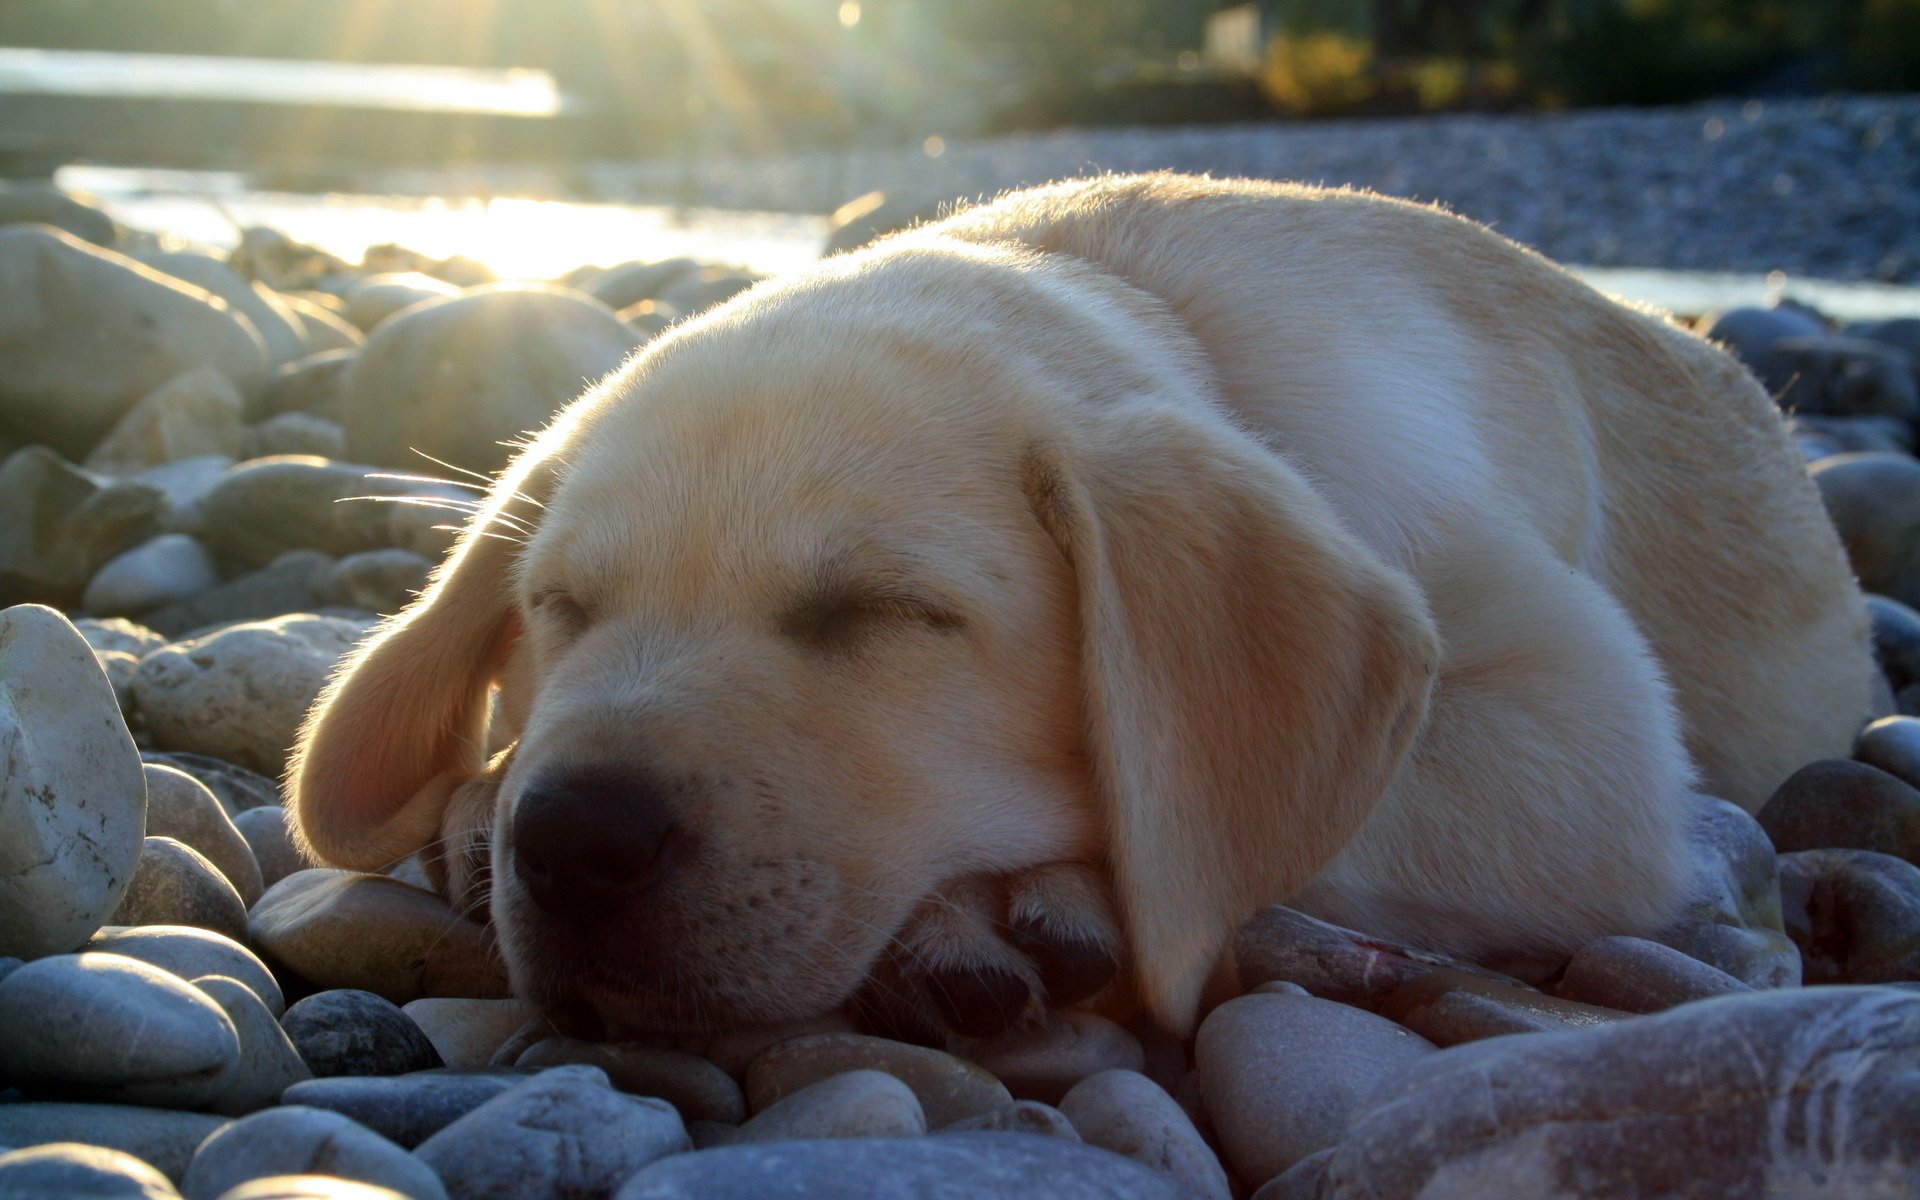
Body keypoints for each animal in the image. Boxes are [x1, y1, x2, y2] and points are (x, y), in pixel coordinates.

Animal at [288, 172, 1873, 1036]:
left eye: (881, 612)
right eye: (560, 607)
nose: (573, 837)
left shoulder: (1588, 735)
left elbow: (1273, 815)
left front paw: (1014, 899)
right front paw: (481, 796)